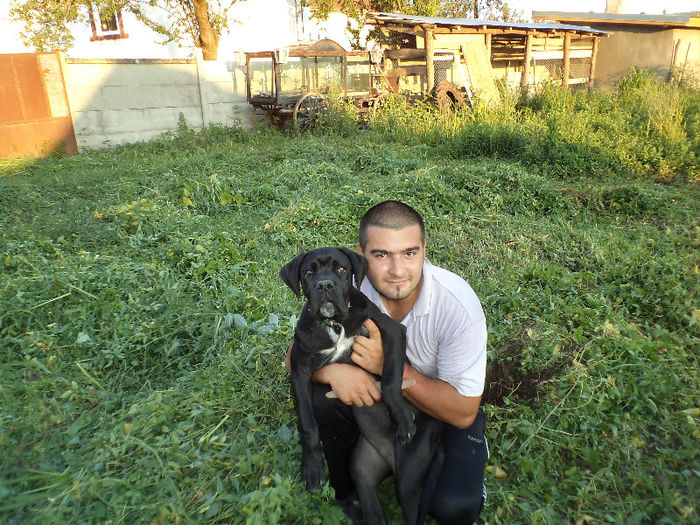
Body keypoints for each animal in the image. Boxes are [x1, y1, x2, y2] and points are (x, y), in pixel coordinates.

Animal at [280, 247, 440, 524]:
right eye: (308, 273)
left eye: (342, 269)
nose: (324, 284)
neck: (335, 324)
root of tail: (390, 462)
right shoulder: (300, 371)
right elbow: (308, 423)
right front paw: (312, 467)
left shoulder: (391, 330)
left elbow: (389, 381)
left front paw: (403, 420)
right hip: (363, 472)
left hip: (410, 482)